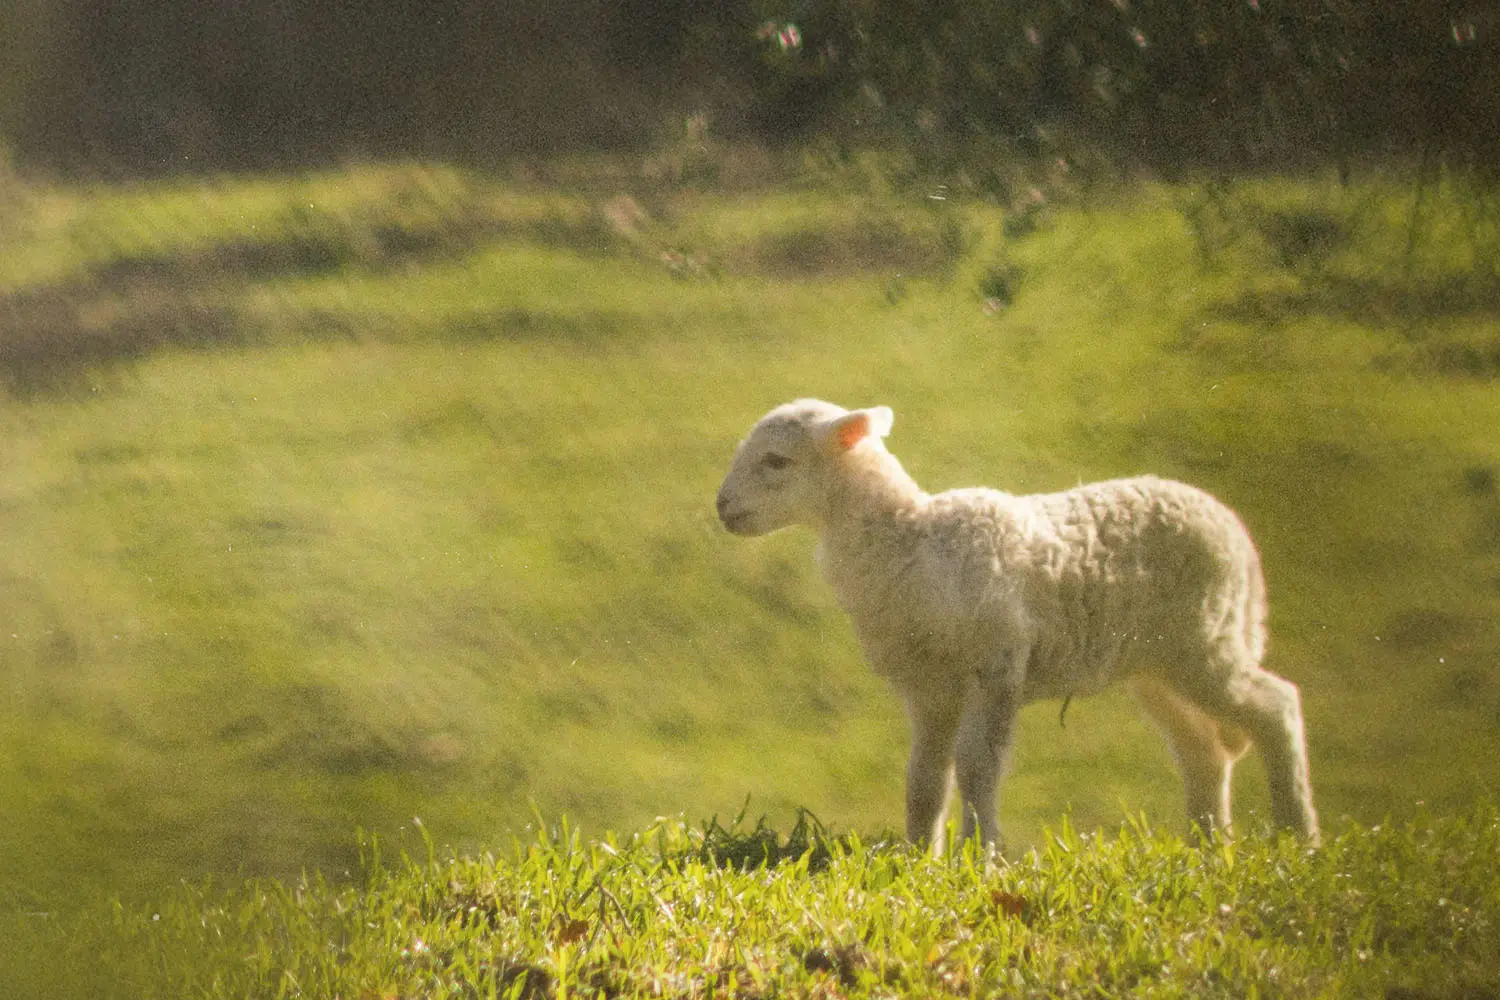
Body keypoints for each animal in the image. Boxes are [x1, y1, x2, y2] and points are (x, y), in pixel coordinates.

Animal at [715, 399, 1319, 852]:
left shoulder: (997, 662)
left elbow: (977, 766)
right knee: (1203, 751)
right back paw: (1206, 848)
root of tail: (1235, 531)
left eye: (776, 461)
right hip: (1158, 663)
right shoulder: (929, 685)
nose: (722, 508)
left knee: (1277, 705)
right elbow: (924, 779)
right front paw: (919, 857)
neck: (908, 538)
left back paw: (1297, 835)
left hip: (1206, 636)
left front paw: (980, 858)